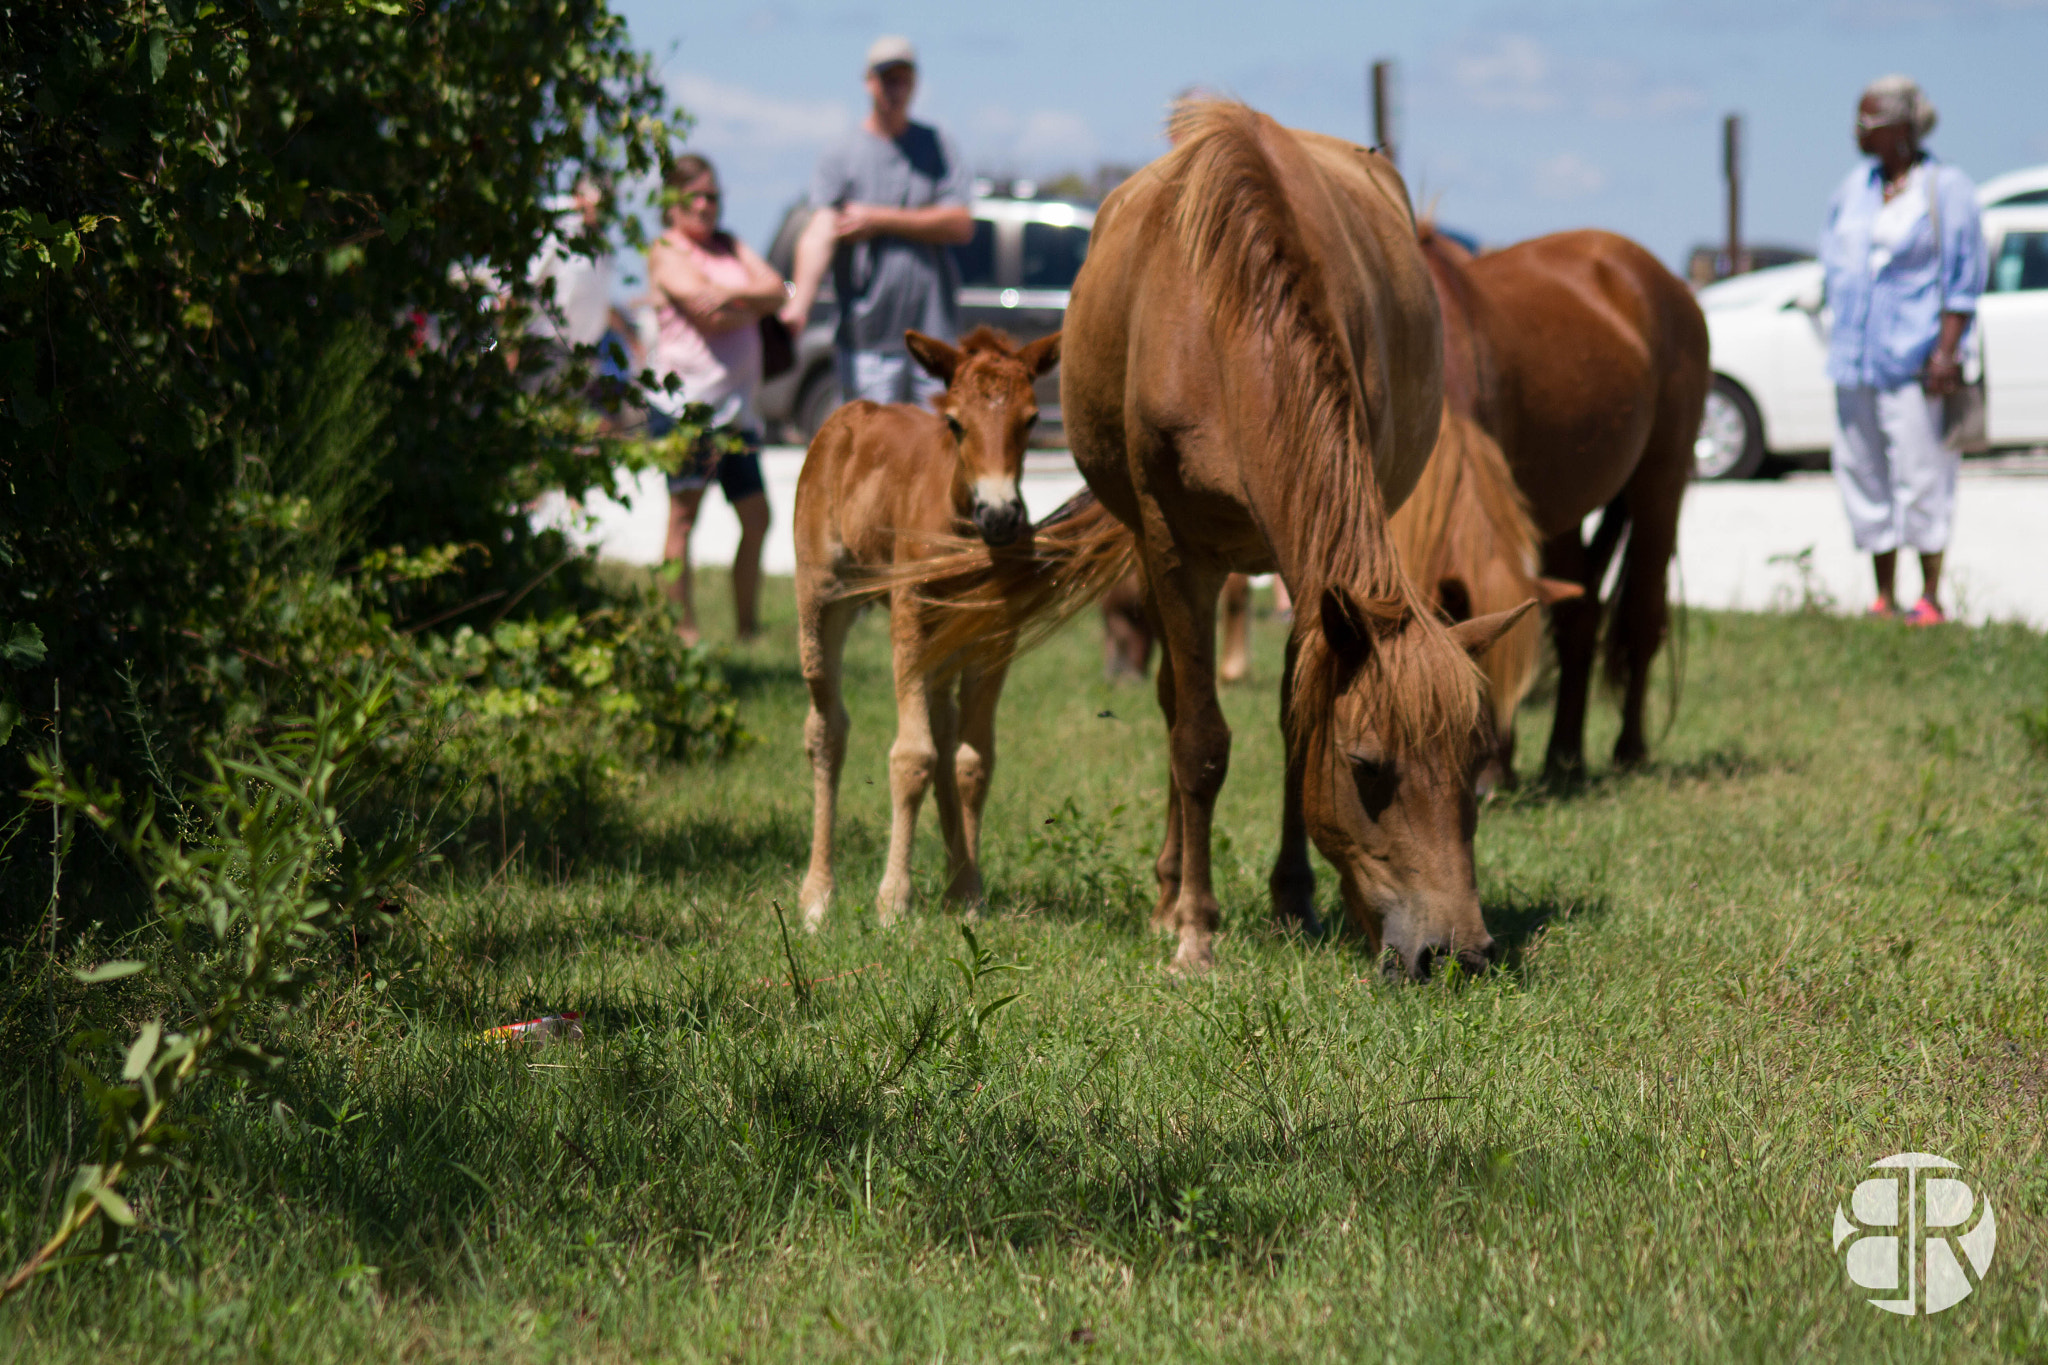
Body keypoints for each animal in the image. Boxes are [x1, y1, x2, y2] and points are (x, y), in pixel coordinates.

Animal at [792, 326, 1060, 929]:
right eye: (955, 422)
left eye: (1032, 418)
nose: (1000, 515)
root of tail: (846, 414)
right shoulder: (910, 620)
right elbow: (912, 757)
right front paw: (894, 901)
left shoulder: (994, 635)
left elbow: (971, 761)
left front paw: (968, 893)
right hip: (823, 593)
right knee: (827, 728)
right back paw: (817, 895)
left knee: (944, 727)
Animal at [896, 102, 1532, 977]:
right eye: (1367, 766)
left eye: (1474, 762)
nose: (1457, 951)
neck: (1224, 324)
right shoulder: (1174, 545)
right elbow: (1197, 737)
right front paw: (1194, 928)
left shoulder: (1312, 571)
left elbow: (1298, 716)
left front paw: (1293, 898)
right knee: (1174, 701)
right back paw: (1169, 894)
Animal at [1418, 226, 1709, 780]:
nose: (1486, 781)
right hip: (1562, 517)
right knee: (1581, 619)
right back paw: (1564, 756)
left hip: (1660, 486)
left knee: (1641, 615)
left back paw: (1628, 750)